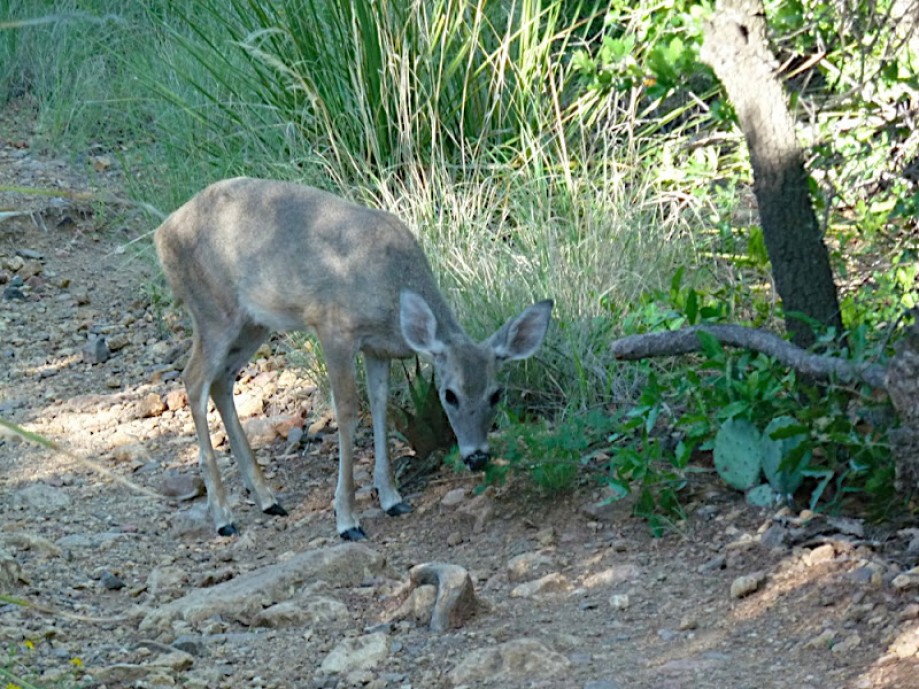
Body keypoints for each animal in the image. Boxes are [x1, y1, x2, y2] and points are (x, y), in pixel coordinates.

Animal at [155, 176, 552, 536]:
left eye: (496, 394)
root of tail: (161, 235)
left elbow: (380, 405)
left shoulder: (377, 349)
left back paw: (268, 499)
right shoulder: (334, 328)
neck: (392, 292)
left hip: (253, 322)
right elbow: (346, 410)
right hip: (212, 309)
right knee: (194, 379)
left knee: (221, 382)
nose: (477, 456)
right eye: (449, 395)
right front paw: (347, 520)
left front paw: (392, 499)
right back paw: (224, 518)